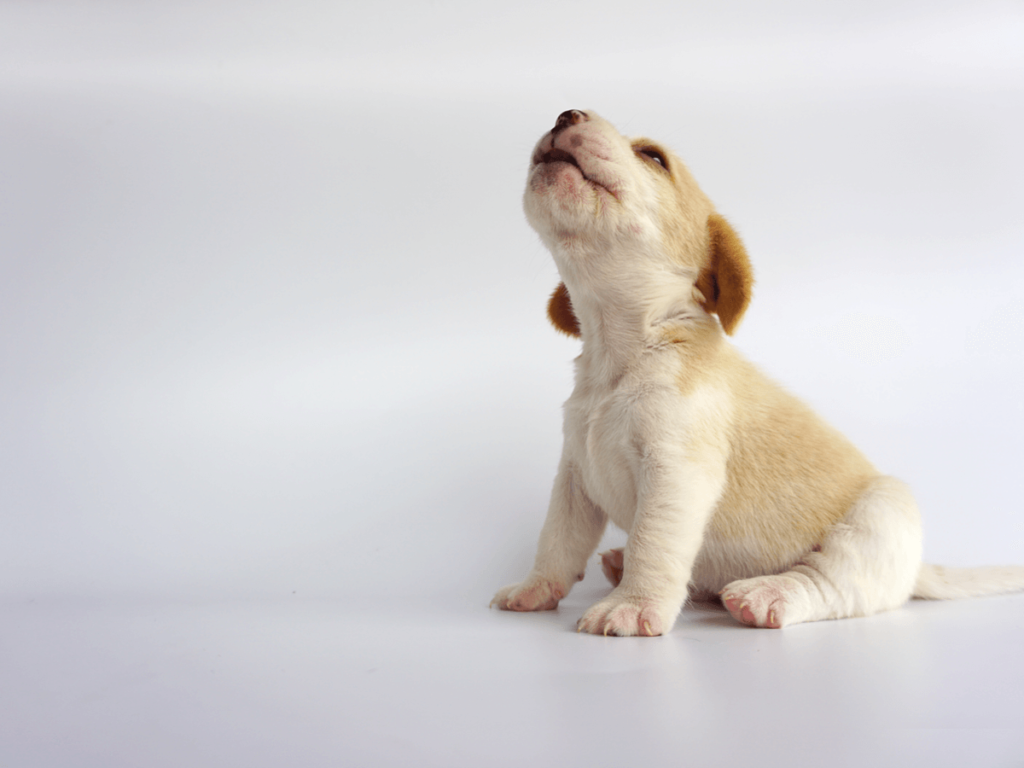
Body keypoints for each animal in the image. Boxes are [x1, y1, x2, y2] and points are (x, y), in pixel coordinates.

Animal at [491, 108, 1019, 638]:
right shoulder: (574, 477)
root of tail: (916, 571)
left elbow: (652, 544)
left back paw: (768, 594)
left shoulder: (675, 474)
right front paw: (534, 589)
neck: (621, 351)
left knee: (830, 584)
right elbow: (557, 541)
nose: (567, 114)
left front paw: (633, 604)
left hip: (881, 513)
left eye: (653, 157)